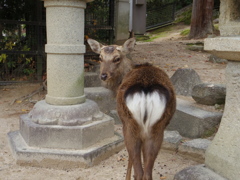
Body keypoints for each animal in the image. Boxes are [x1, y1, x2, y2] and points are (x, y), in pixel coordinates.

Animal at [88, 38, 176, 180]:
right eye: (100, 58)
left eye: (117, 58)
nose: (103, 76)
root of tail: (146, 91)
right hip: (157, 128)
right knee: (147, 172)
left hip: (130, 124)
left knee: (138, 169)